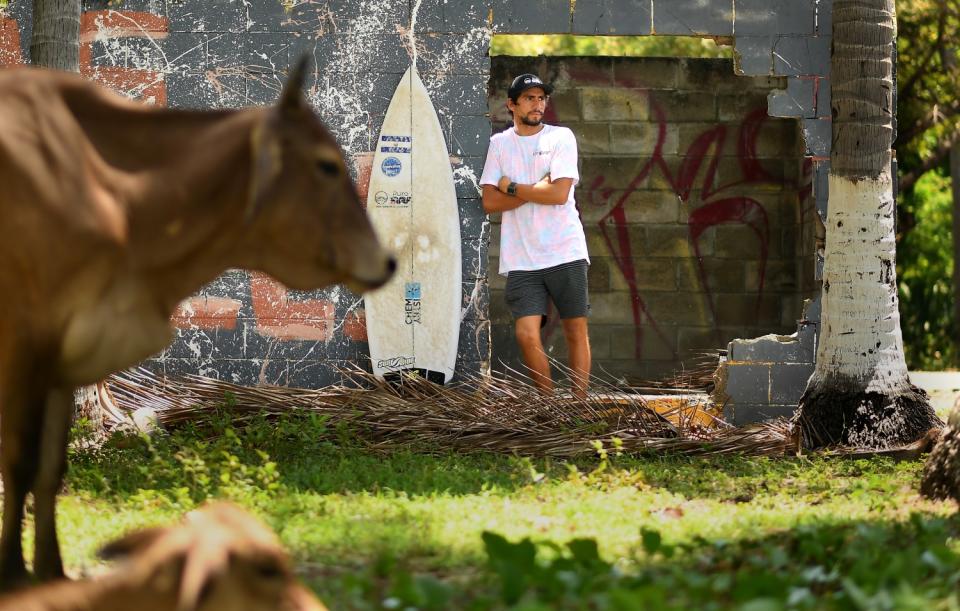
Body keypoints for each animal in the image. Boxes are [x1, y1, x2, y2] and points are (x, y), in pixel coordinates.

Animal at [0, 61, 394, 588]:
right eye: (327, 164)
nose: (388, 261)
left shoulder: (69, 354)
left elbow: (49, 467)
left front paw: (51, 573)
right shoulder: (26, 342)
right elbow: (19, 462)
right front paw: (11, 574)